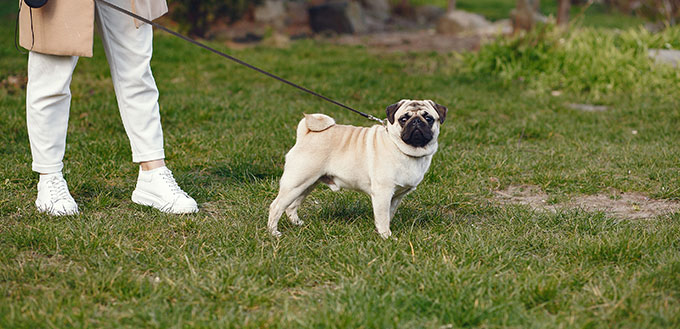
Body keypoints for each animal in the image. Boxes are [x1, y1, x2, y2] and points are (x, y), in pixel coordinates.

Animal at [268, 98, 448, 237]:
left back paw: (298, 223)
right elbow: (382, 217)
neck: (404, 150)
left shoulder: (396, 196)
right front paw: (386, 236)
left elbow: (388, 215)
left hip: (307, 184)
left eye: (429, 118)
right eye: (404, 119)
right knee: (276, 206)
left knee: (291, 206)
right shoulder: (383, 193)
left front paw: (383, 231)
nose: (416, 122)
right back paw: (273, 232)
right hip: (296, 183)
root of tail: (306, 134)